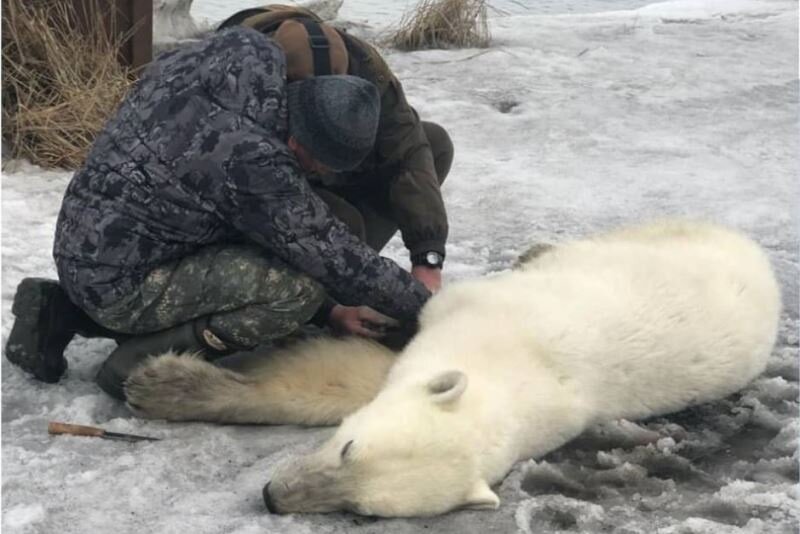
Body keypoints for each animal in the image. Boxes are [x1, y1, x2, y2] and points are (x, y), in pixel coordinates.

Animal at [126, 220, 780, 516]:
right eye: (348, 448)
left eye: (361, 511)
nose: (272, 496)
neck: (514, 367)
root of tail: (755, 251)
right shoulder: (471, 314)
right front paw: (160, 384)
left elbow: (344, 379)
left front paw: (162, 384)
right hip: (657, 240)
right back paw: (534, 250)